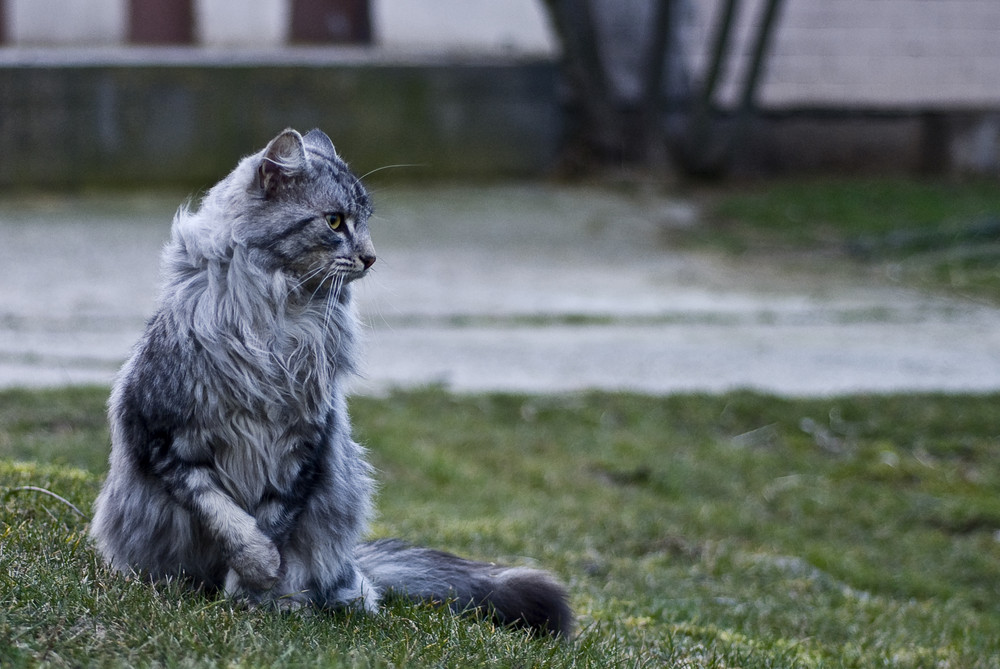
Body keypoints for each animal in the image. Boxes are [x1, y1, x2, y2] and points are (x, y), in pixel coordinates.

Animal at [90, 126, 576, 636]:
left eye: (363, 223)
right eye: (335, 221)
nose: (371, 257)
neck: (280, 318)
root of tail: (355, 565)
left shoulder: (303, 450)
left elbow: (272, 523)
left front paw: (254, 595)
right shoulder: (162, 436)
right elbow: (224, 514)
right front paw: (256, 567)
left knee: (349, 585)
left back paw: (309, 601)